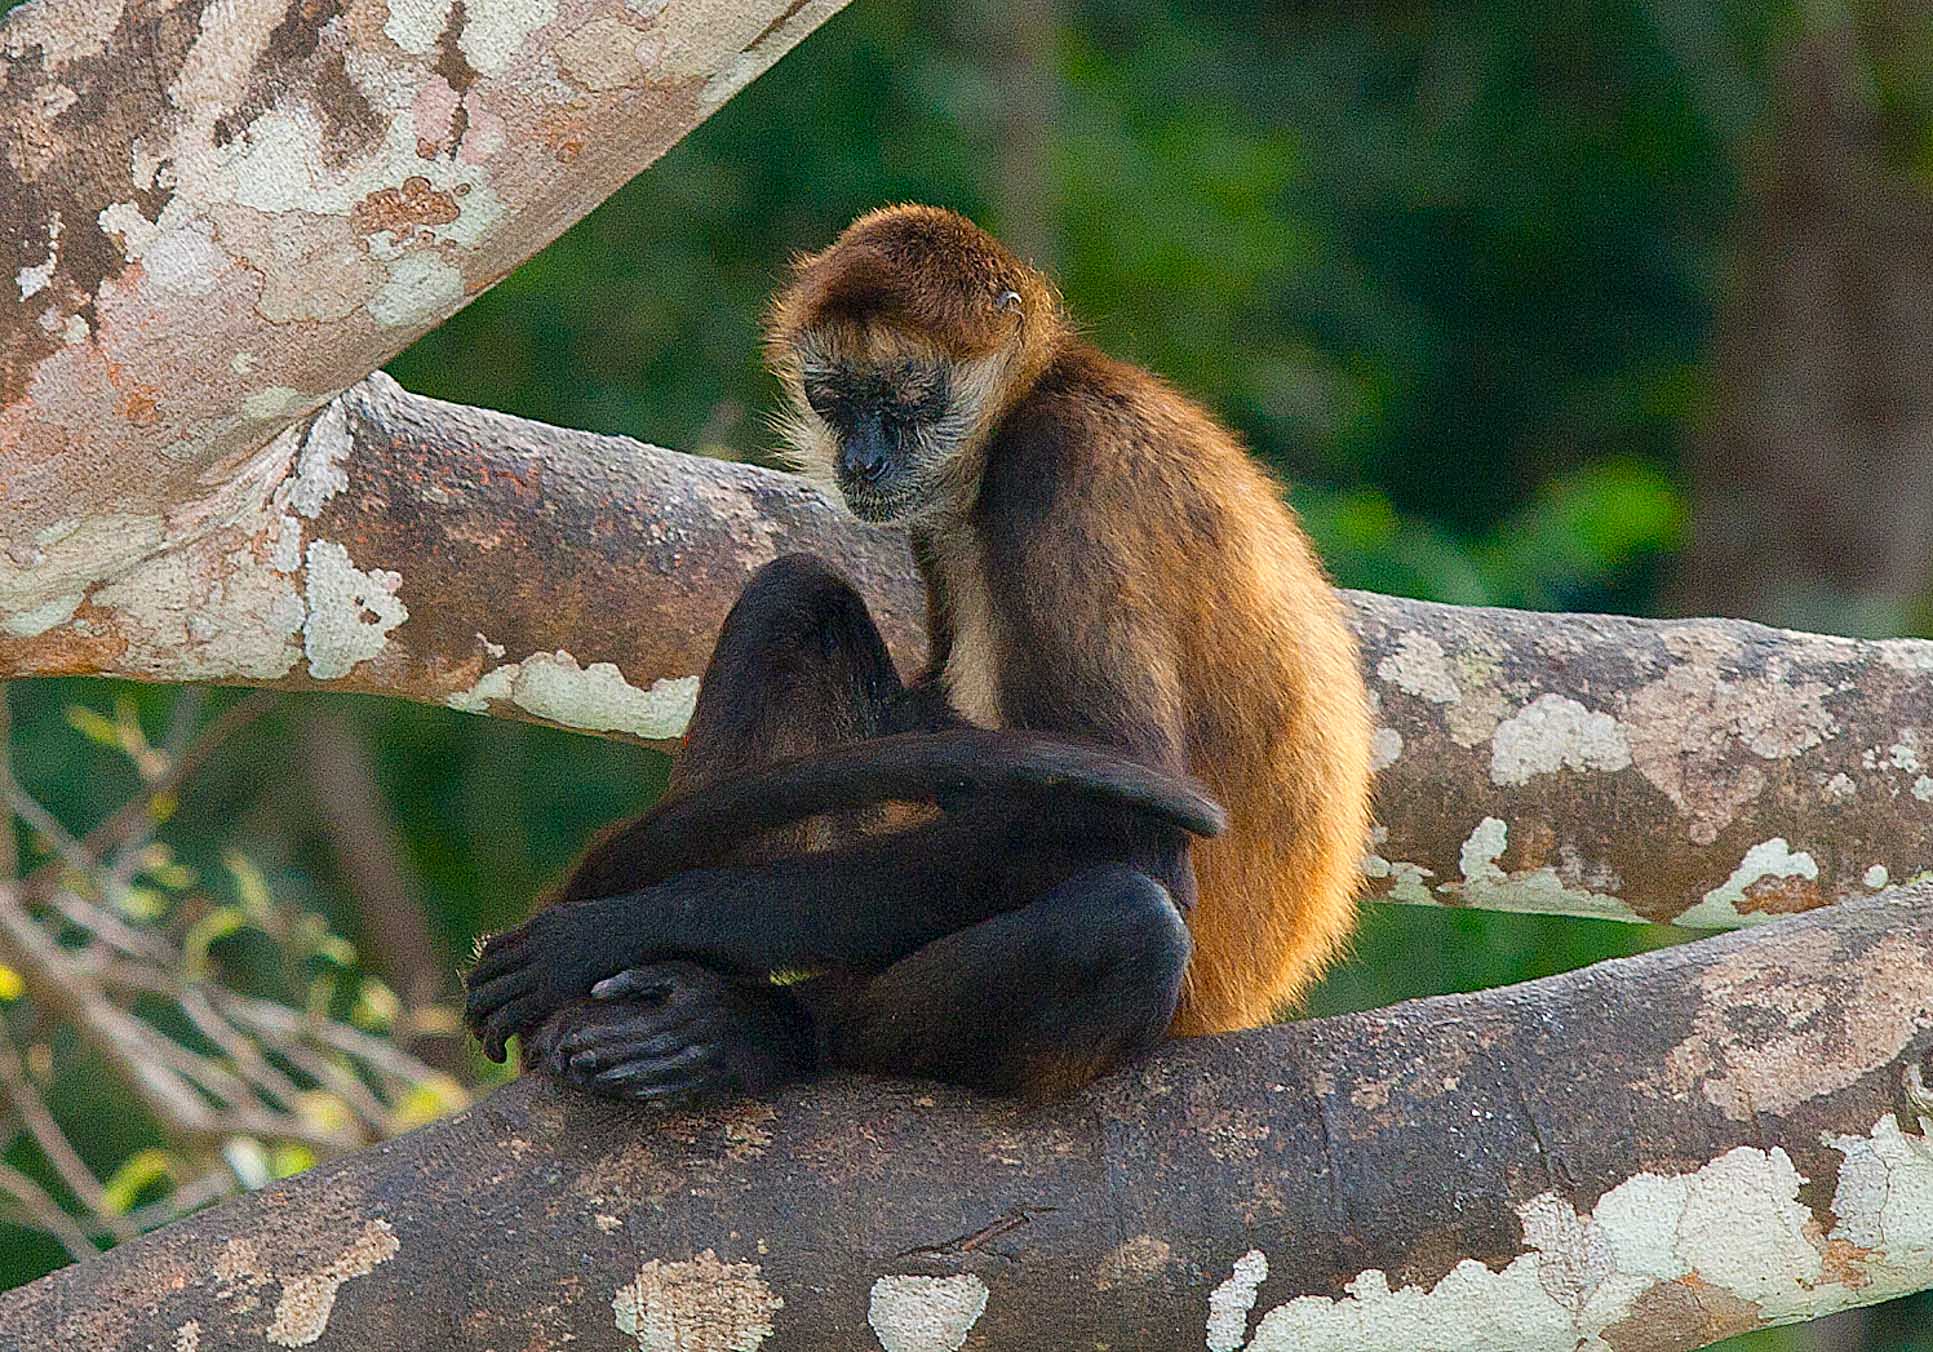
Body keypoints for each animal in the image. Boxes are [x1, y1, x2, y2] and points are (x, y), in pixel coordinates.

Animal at [463, 204, 1374, 1103]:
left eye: (905, 401)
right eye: (832, 400)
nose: (862, 461)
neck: (1044, 392)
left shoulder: (1057, 467)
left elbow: (1126, 831)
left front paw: (612, 931)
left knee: (1125, 923)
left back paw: (759, 1028)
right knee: (796, 603)